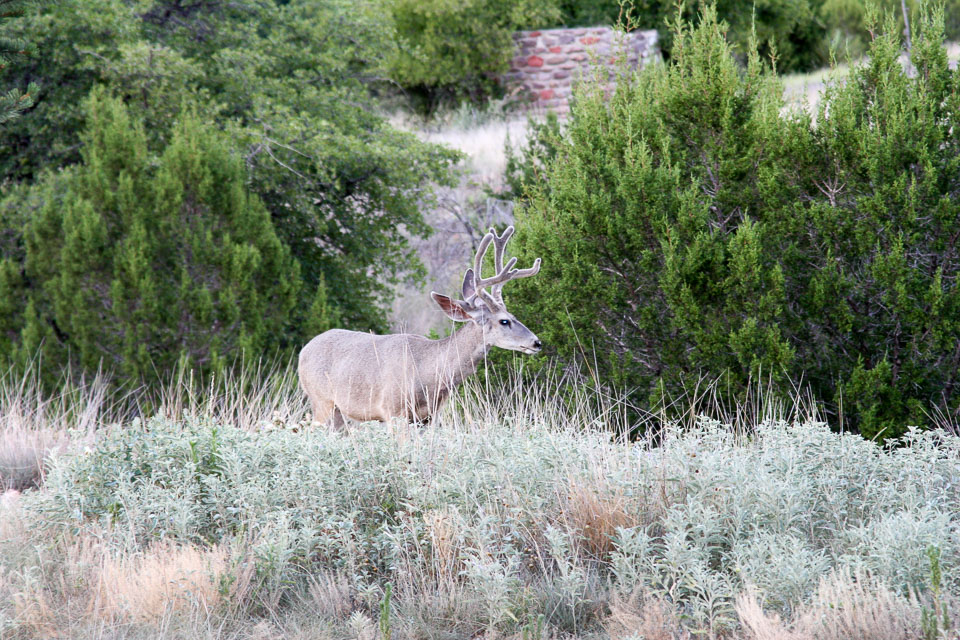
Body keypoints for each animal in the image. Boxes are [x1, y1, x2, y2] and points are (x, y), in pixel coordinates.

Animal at [298, 226, 542, 428]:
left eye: (513, 315)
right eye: (504, 321)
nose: (537, 342)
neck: (429, 374)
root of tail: (303, 350)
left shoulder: (428, 417)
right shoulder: (393, 409)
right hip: (321, 400)